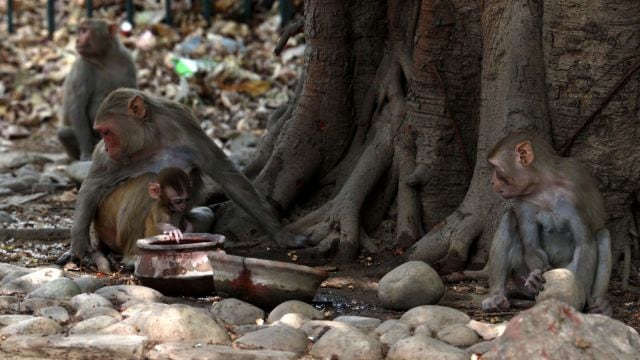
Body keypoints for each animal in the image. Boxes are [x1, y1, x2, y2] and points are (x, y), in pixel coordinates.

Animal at [57, 18, 138, 160]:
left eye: (84, 31)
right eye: (80, 30)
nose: (77, 40)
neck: (104, 58)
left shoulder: (127, 60)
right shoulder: (83, 66)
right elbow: (77, 108)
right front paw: (86, 153)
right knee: (63, 133)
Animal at [482, 129, 612, 316]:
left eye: (496, 169)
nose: (492, 182)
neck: (544, 186)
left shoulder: (573, 195)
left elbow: (585, 245)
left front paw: (580, 296)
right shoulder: (524, 200)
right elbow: (532, 246)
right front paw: (535, 277)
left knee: (602, 234)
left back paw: (601, 305)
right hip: (521, 281)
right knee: (508, 218)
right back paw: (496, 297)